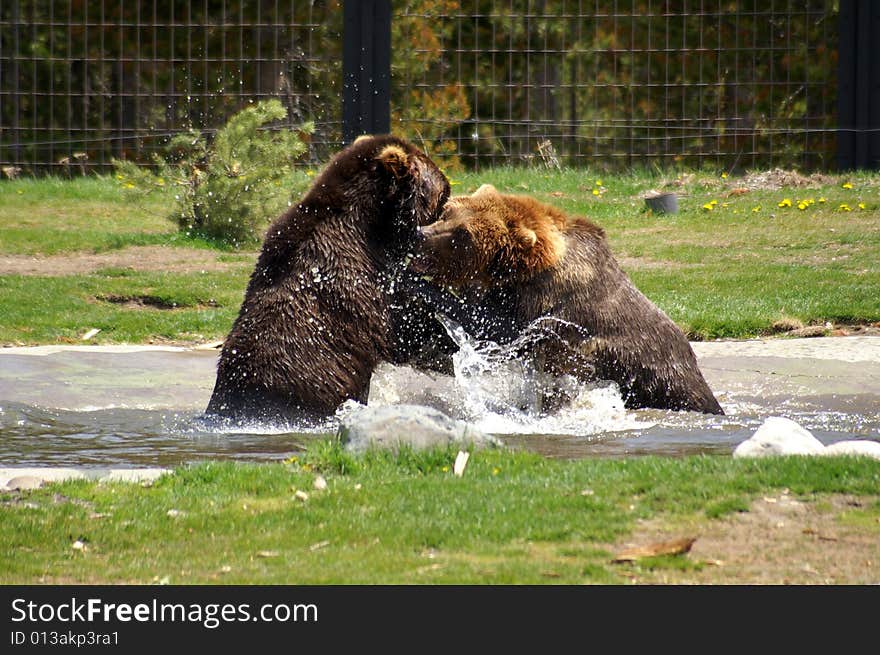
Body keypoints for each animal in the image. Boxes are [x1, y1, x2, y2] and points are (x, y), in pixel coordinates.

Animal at [412, 183, 720, 416]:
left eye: (463, 234)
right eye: (447, 212)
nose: (420, 236)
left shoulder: (550, 302)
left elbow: (496, 328)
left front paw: (416, 283)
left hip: (654, 377)